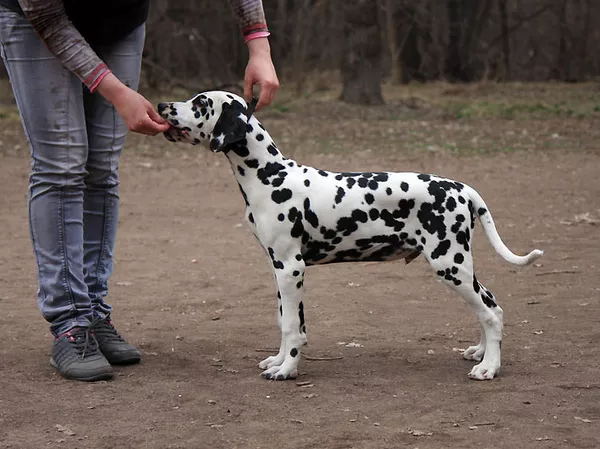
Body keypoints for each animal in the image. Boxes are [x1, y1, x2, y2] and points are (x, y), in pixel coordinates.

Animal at [158, 91, 544, 382]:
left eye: (200, 102)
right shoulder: (279, 268)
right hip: (458, 266)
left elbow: (291, 327)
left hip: (450, 264)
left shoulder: (291, 267)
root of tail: (463, 189)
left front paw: (287, 369)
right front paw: (279, 360)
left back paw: (489, 367)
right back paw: (481, 352)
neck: (270, 176)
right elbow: (286, 320)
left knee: (491, 311)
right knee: (488, 304)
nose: (161, 105)